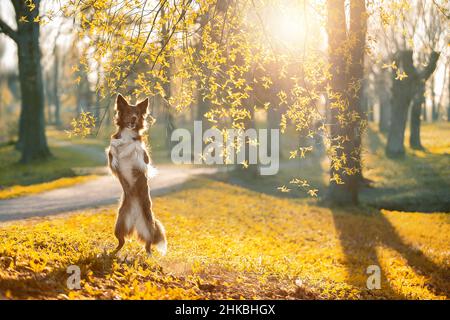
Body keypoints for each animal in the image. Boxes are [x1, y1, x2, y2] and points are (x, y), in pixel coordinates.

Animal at [107, 94, 167, 256]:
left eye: (138, 113)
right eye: (128, 112)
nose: (134, 118)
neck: (128, 133)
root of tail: (134, 220)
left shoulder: (145, 158)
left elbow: (137, 150)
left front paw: (130, 149)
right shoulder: (112, 148)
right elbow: (113, 148)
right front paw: (117, 154)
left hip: (149, 226)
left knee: (149, 244)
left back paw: (149, 256)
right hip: (119, 225)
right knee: (121, 242)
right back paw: (112, 253)